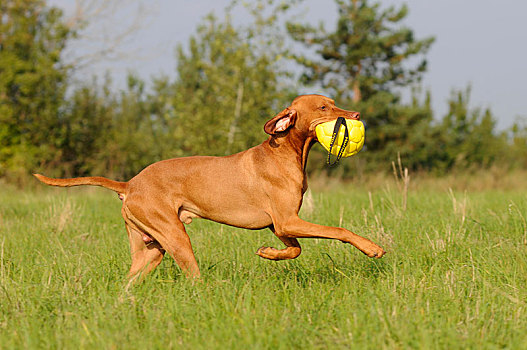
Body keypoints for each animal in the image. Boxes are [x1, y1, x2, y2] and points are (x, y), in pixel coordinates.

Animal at [35, 94, 386, 284]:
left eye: (334, 103)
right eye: (324, 108)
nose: (356, 114)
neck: (285, 151)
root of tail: (130, 183)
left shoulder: (281, 225)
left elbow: (295, 249)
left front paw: (268, 253)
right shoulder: (288, 221)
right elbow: (338, 230)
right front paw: (371, 247)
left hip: (150, 249)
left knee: (129, 283)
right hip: (176, 237)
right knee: (193, 278)